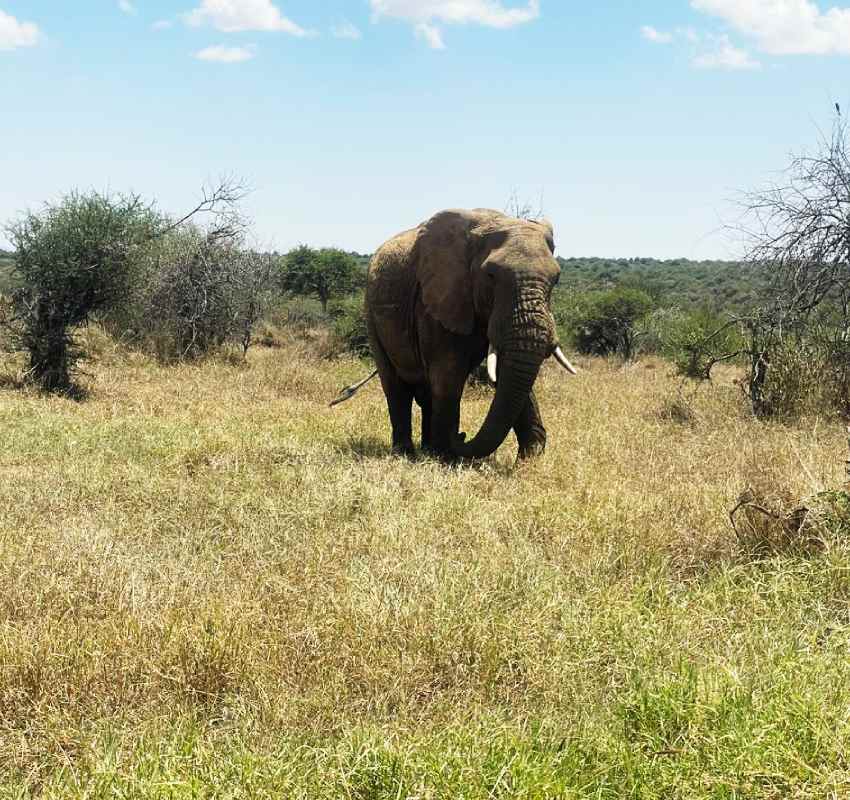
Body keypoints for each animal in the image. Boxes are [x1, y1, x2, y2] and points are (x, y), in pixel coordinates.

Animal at [360, 208, 577, 461]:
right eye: (491, 275)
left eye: (556, 279)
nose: (462, 435)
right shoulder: (436, 299)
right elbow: (448, 374)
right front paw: (446, 457)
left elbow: (508, 370)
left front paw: (529, 460)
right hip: (371, 312)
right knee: (395, 386)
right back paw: (407, 453)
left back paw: (427, 448)